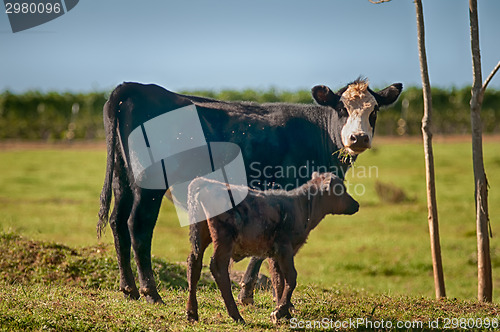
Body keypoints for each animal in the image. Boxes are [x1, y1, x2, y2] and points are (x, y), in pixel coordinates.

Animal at [96, 78, 402, 304]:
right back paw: (151, 292)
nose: (358, 138)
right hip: (150, 184)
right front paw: (252, 294)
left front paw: (248, 293)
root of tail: (135, 87)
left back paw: (129, 288)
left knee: (117, 221)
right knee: (138, 225)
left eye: (374, 111)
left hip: (123, 178)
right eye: (341, 109)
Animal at [186, 172, 358, 322]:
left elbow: (278, 280)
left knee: (194, 264)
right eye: (341, 189)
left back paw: (192, 313)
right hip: (224, 239)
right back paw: (236, 315)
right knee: (218, 268)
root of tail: (205, 183)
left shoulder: (275, 254)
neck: (301, 206)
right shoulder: (284, 248)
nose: (356, 204)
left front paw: (285, 312)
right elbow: (291, 277)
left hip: (201, 237)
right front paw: (280, 311)